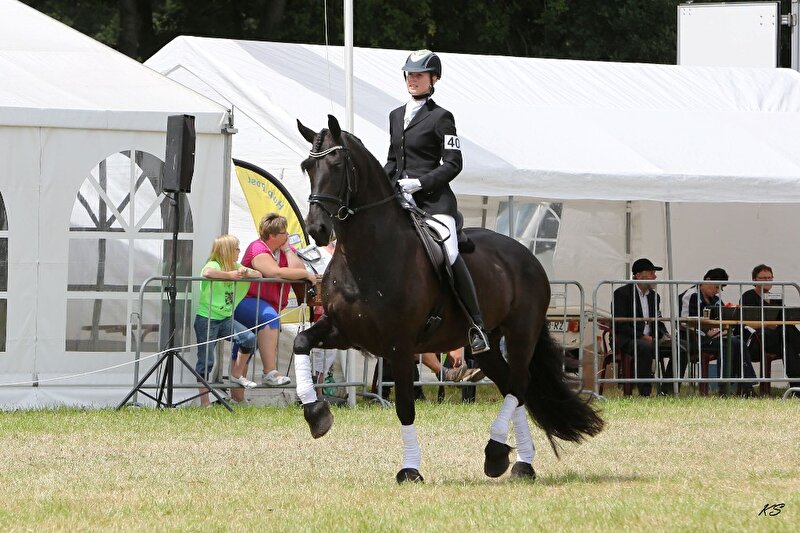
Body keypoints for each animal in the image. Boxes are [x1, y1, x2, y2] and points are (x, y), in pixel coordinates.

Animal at [292, 115, 603, 483]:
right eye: (307, 166)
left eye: (338, 164)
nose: (317, 229)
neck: (367, 253)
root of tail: (524, 255)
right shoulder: (344, 331)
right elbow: (300, 343)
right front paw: (316, 413)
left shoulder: (399, 346)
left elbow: (405, 407)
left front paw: (410, 469)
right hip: (483, 346)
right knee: (513, 386)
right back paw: (517, 463)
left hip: (520, 333)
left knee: (518, 385)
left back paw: (499, 453)